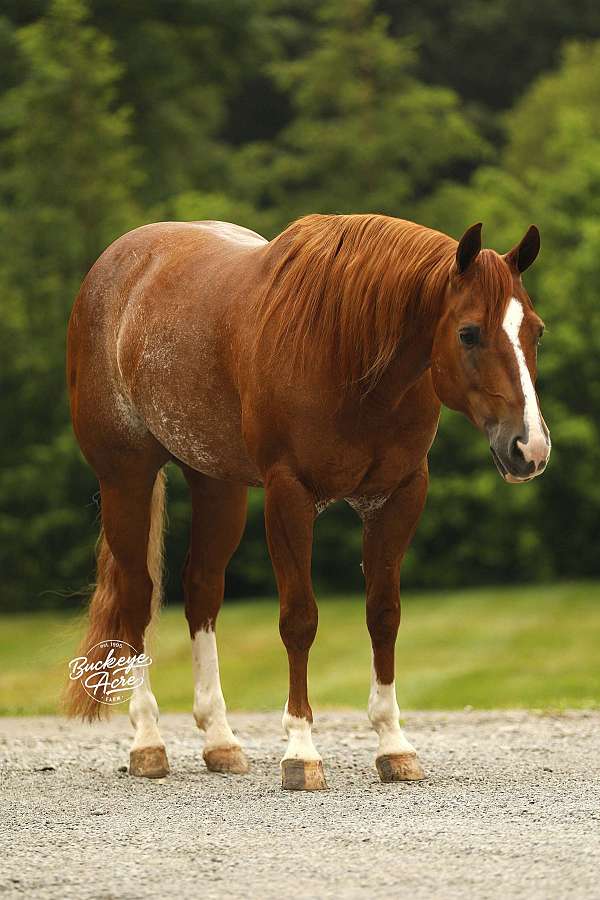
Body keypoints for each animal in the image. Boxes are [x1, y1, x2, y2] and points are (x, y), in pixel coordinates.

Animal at [65, 213, 550, 790]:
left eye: (535, 330)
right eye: (469, 332)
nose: (529, 448)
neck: (345, 352)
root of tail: (117, 263)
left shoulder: (397, 496)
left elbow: (383, 614)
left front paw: (393, 745)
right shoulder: (289, 496)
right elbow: (299, 619)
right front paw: (300, 751)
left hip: (216, 483)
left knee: (202, 589)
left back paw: (221, 741)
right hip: (126, 476)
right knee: (138, 595)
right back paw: (147, 741)